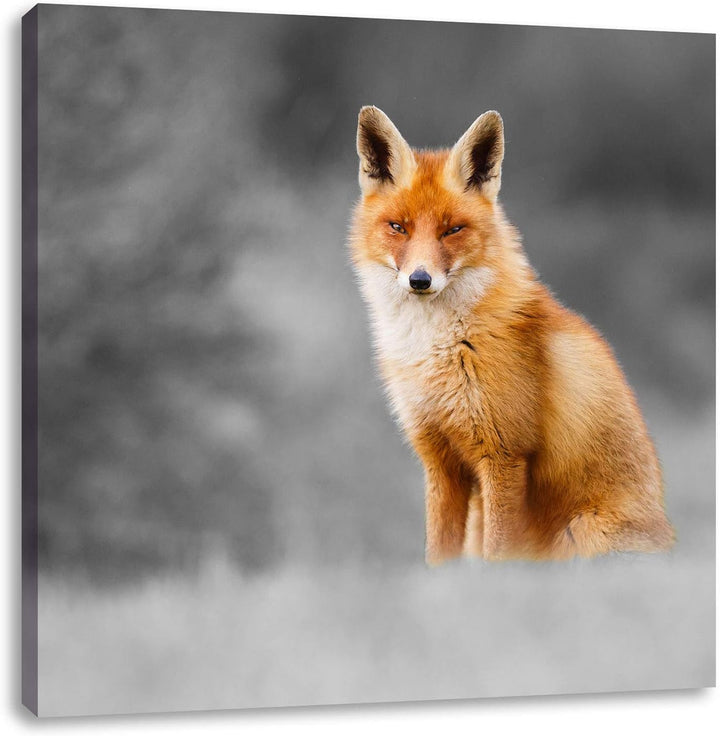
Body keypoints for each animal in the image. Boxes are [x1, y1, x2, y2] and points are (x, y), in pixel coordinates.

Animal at [349, 106, 675, 565]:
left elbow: (498, 557)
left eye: (452, 230)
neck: (439, 349)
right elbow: (438, 557)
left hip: (581, 532)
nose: (420, 280)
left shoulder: (503, 456)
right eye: (398, 227)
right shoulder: (440, 460)